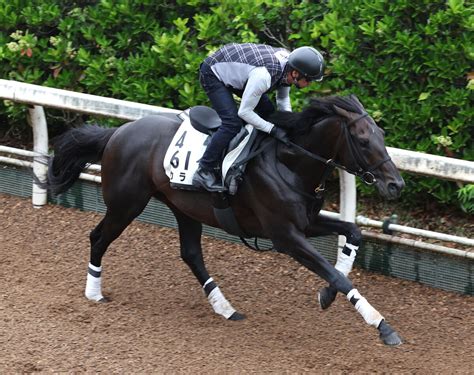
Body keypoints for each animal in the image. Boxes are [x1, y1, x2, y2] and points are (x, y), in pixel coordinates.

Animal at [39, 94, 404, 346]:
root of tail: (118, 132)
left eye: (382, 134)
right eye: (362, 140)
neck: (290, 162)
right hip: (126, 205)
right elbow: (338, 275)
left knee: (191, 254)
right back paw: (94, 293)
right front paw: (382, 325)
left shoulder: (305, 224)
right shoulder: (285, 236)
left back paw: (225, 307)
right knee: (98, 238)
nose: (396, 184)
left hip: (184, 208)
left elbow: (352, 235)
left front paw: (327, 295)